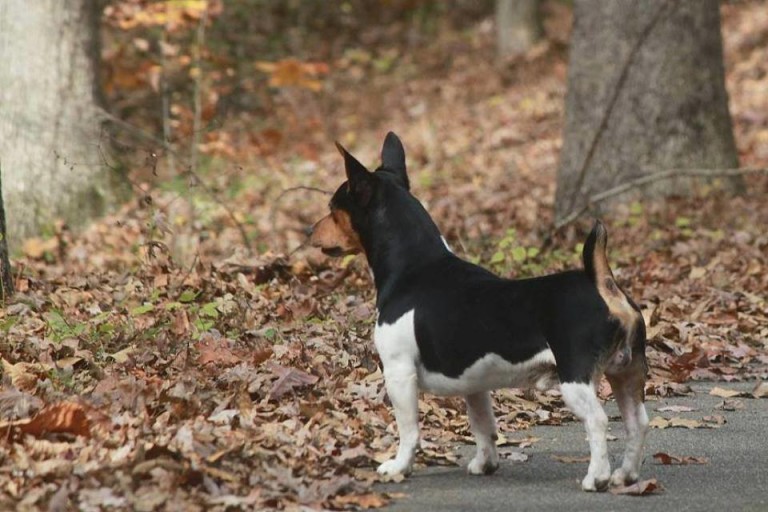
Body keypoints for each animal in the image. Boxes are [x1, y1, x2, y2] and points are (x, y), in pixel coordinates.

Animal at [310, 133, 648, 492]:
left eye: (332, 210)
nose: (308, 231)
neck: (414, 266)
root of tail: (601, 284)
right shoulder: (475, 384)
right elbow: (483, 425)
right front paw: (485, 464)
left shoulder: (399, 373)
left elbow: (409, 430)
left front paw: (399, 466)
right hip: (626, 372)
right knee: (637, 422)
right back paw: (626, 475)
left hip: (576, 379)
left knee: (598, 421)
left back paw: (597, 477)